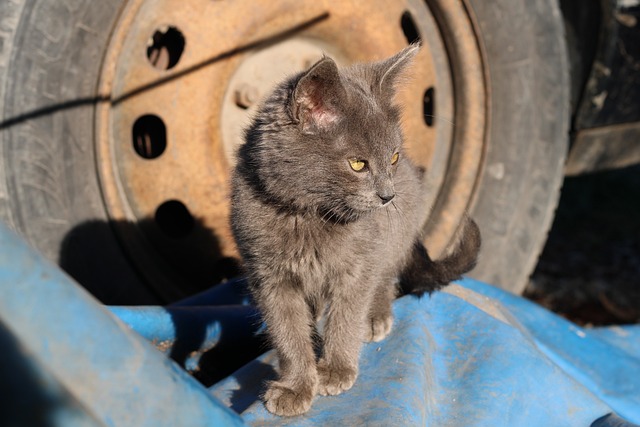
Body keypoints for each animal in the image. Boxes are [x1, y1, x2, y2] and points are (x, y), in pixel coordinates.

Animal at [231, 45, 480, 416]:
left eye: (392, 158)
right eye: (358, 164)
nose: (388, 196)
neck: (308, 216)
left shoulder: (358, 264)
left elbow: (347, 315)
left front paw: (336, 370)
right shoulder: (268, 276)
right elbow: (287, 331)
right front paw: (296, 386)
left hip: (396, 235)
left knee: (385, 277)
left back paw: (375, 316)